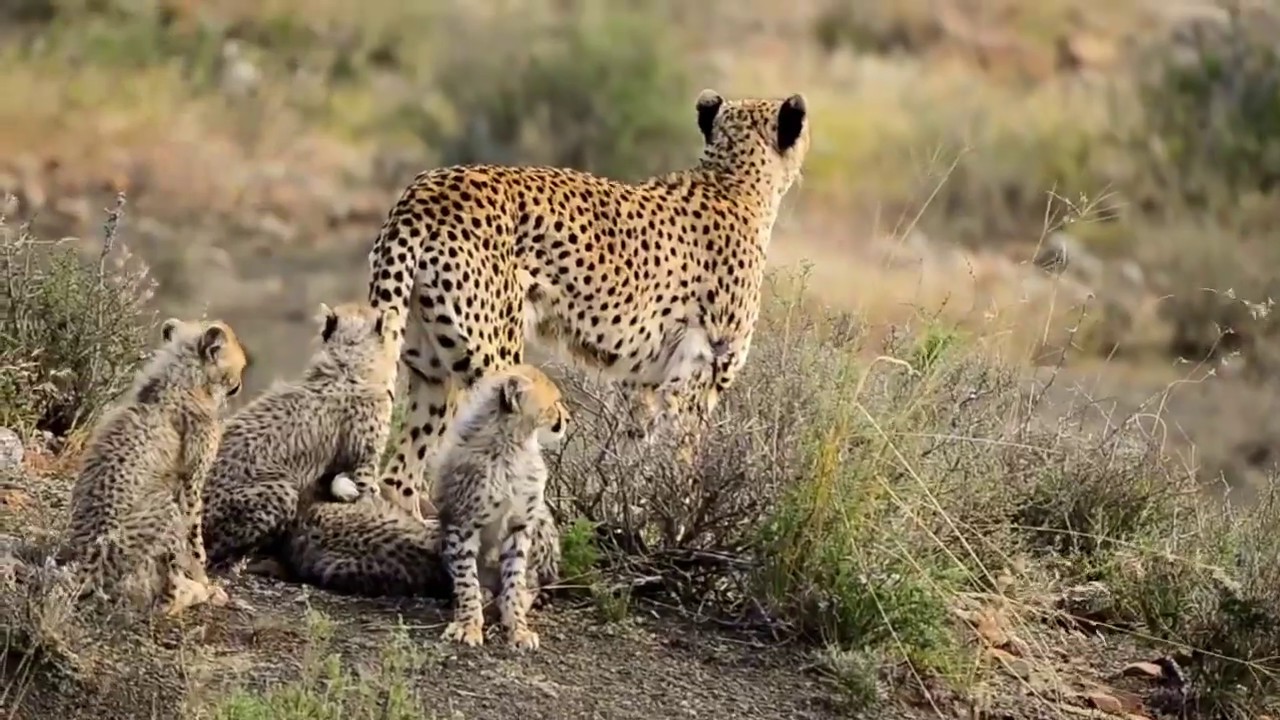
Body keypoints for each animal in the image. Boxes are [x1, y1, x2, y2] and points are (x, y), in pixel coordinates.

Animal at [63, 316, 248, 617]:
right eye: (238, 364)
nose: (238, 383)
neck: (181, 379)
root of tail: (85, 571)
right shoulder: (190, 482)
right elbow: (195, 540)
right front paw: (203, 579)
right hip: (161, 511)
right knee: (164, 602)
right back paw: (200, 593)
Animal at [364, 88, 811, 519]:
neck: (733, 178)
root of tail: (428, 189)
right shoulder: (698, 376)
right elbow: (685, 460)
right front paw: (680, 516)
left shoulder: (642, 382)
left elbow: (635, 457)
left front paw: (632, 515)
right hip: (493, 360)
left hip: (432, 366)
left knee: (400, 475)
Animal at [434, 363, 566, 651]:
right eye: (555, 402)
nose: (568, 417)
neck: (513, 443)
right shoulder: (462, 524)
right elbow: (466, 579)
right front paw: (468, 624)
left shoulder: (521, 524)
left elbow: (515, 579)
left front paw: (518, 628)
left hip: (541, 521)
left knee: (531, 581)